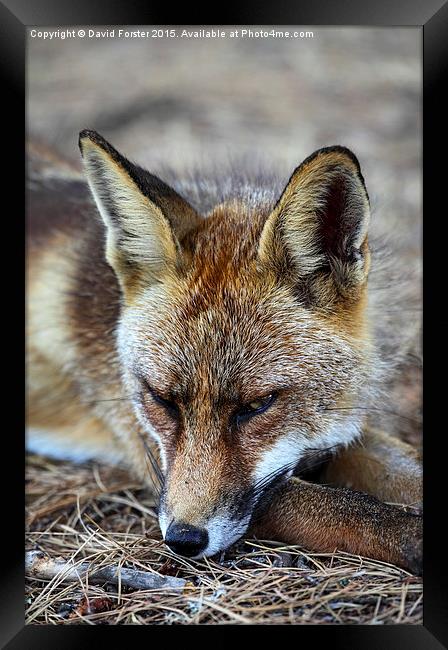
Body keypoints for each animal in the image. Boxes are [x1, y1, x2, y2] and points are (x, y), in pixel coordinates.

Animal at [26, 130, 422, 572]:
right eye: (161, 400)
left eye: (258, 405)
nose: (183, 539)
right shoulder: (149, 452)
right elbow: (350, 511)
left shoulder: (332, 432)